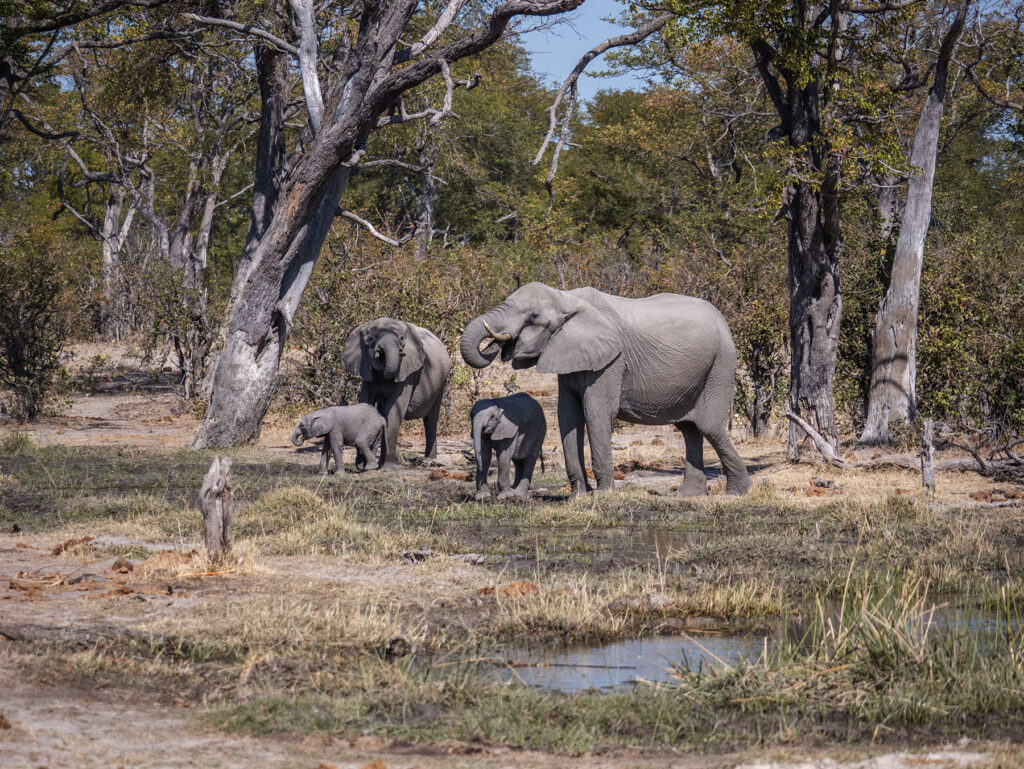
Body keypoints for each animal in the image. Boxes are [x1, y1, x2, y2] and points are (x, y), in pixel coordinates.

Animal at [342, 318, 452, 465]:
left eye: (401, 339)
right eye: (370, 339)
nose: (378, 353)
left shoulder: (407, 372)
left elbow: (395, 410)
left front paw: (387, 465)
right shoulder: (364, 368)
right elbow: (366, 403)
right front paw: (362, 464)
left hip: (441, 382)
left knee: (431, 420)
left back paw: (429, 461)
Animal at [460, 282, 751, 497]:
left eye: (533, 316)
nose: (499, 341)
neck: (567, 298)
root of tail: (723, 319)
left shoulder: (612, 362)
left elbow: (596, 413)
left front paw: (602, 495)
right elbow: (568, 417)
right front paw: (578, 496)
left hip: (721, 365)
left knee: (709, 425)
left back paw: (736, 493)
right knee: (689, 429)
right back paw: (687, 496)